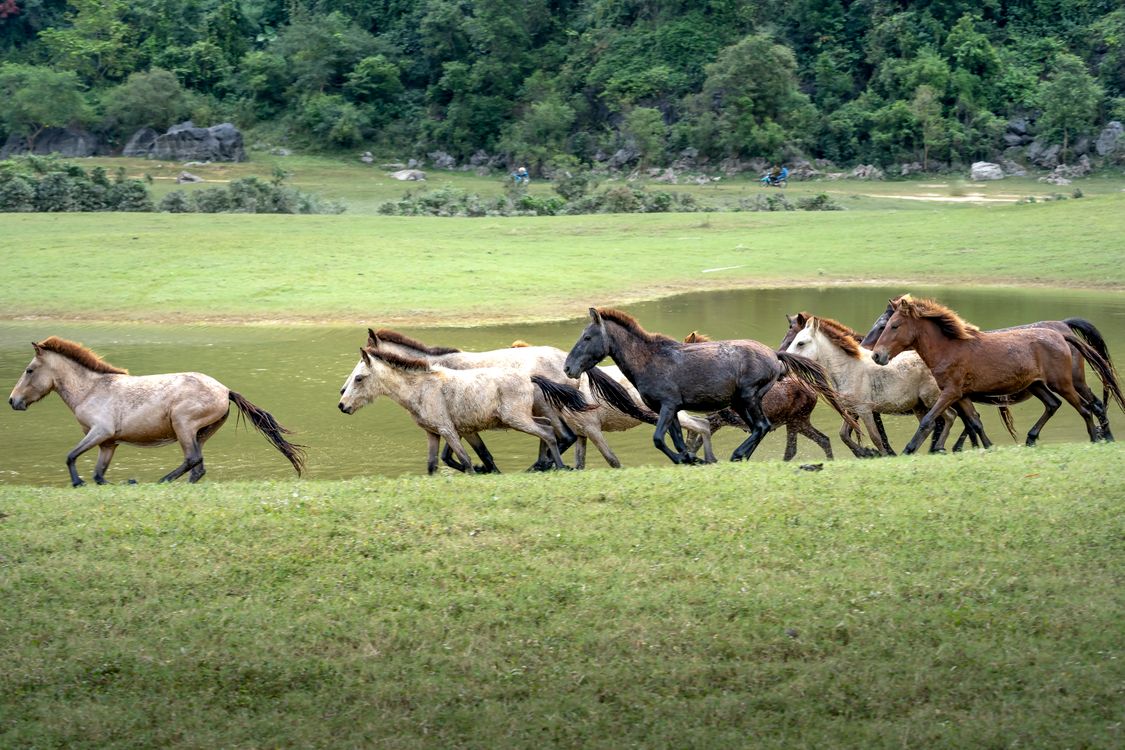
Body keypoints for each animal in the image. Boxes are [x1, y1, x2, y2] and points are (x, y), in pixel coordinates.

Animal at [8, 336, 306, 486]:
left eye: (29, 370)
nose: (13, 401)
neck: (91, 390)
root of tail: (225, 390)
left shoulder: (99, 432)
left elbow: (71, 456)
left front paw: (78, 482)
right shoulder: (108, 442)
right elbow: (99, 474)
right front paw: (108, 483)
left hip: (182, 424)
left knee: (193, 460)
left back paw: (160, 480)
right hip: (200, 432)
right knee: (198, 467)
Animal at [337, 346, 593, 474]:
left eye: (359, 378)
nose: (342, 405)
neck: (421, 388)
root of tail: (530, 378)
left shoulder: (448, 430)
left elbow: (466, 460)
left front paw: (478, 471)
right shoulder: (433, 433)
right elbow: (433, 465)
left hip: (516, 419)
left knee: (549, 433)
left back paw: (558, 466)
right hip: (524, 418)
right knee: (549, 429)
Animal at [682, 331, 834, 461]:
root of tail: (812, 391)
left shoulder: (716, 420)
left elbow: (696, 441)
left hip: (796, 421)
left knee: (795, 448)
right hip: (799, 422)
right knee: (822, 440)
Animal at [869, 295, 1125, 453]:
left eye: (892, 325)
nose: (877, 355)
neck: (949, 348)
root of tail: (1061, 333)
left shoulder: (950, 392)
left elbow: (928, 420)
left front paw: (909, 449)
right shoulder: (962, 395)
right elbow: (975, 422)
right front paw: (987, 446)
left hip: (1063, 383)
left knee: (1087, 408)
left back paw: (1096, 438)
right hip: (1037, 385)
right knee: (1054, 404)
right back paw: (1032, 438)